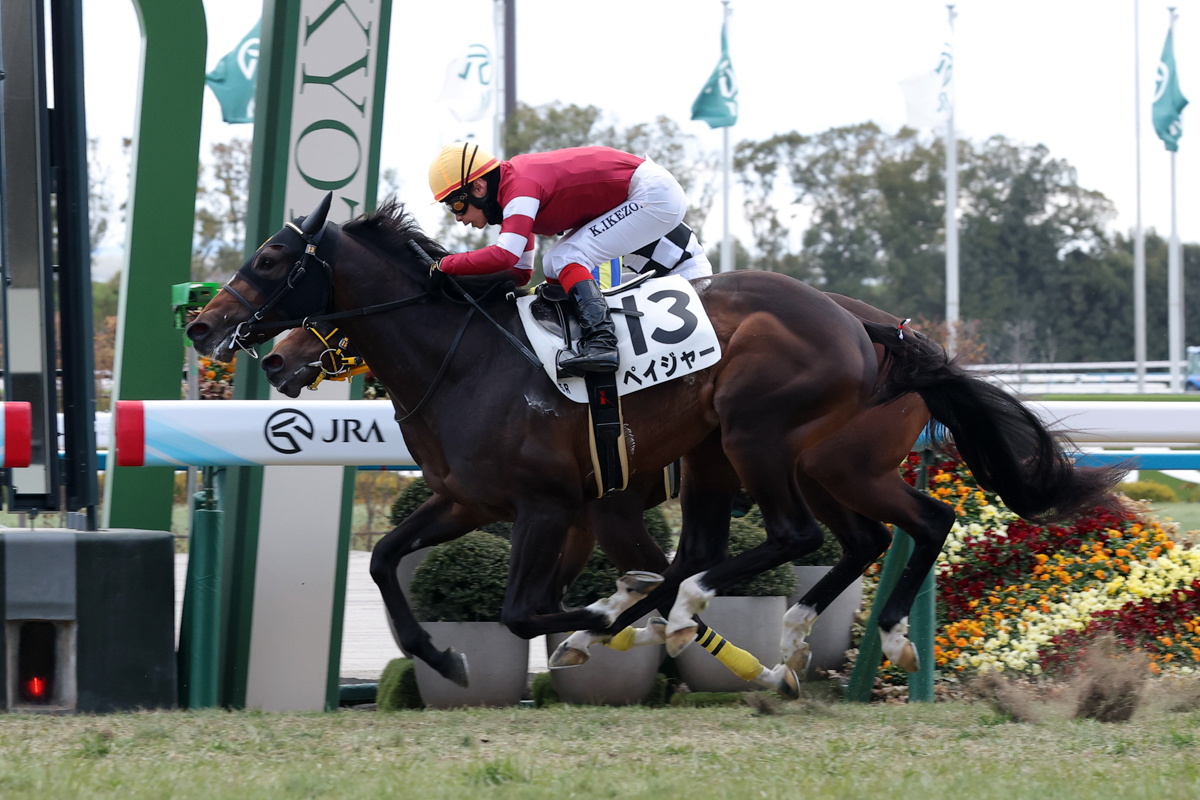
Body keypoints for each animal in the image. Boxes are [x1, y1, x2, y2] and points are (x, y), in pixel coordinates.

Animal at [186, 195, 1122, 685]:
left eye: (270, 260)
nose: (205, 326)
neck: (468, 361)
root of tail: (877, 327)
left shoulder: (556, 504)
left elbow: (530, 607)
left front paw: (612, 623)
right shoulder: (471, 499)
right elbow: (385, 561)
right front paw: (441, 658)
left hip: (767, 437)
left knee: (821, 534)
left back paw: (742, 621)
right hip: (783, 461)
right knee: (882, 532)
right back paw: (802, 638)